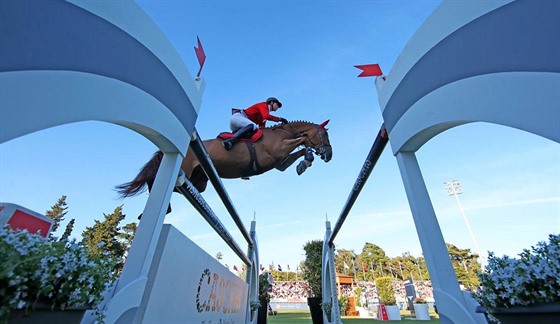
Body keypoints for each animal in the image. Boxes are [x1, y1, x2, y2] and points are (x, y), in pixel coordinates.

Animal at [115, 119, 332, 197]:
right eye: (325, 135)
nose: (329, 155)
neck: (283, 132)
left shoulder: (281, 163)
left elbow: (300, 151)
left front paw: (304, 164)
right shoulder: (278, 150)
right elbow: (303, 141)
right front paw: (308, 158)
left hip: (199, 180)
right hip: (184, 171)